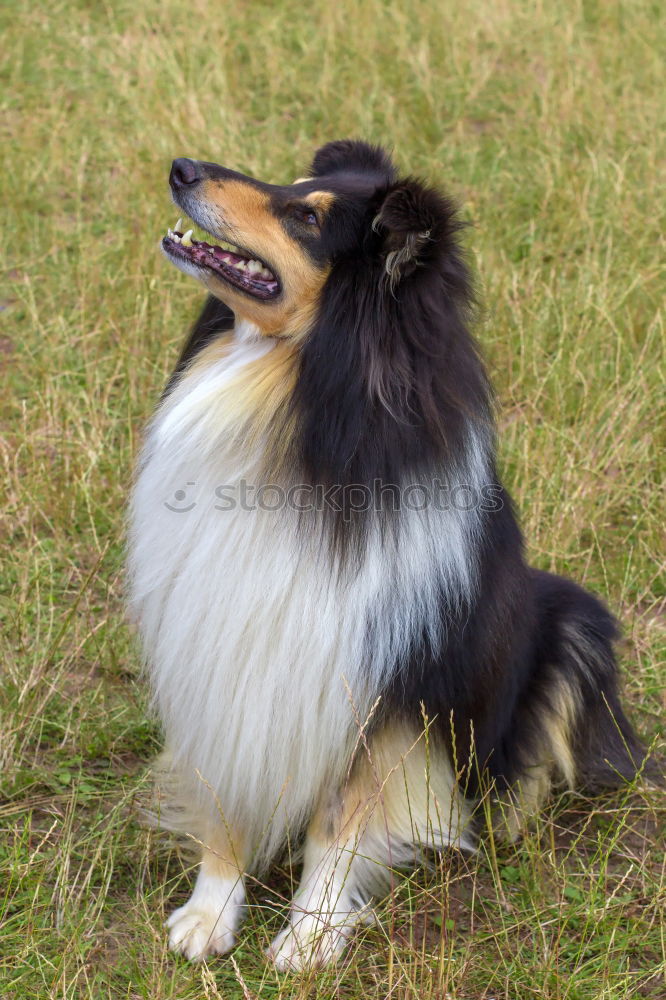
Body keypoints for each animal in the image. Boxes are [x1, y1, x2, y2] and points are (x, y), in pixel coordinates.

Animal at [127, 141, 644, 968]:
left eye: (305, 217)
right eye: (296, 187)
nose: (181, 167)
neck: (293, 397)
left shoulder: (386, 684)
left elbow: (341, 820)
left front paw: (310, 935)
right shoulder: (221, 652)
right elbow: (227, 794)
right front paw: (209, 916)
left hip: (571, 627)